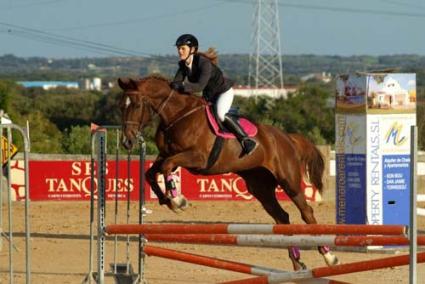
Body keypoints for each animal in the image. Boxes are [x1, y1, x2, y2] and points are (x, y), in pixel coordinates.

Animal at [117, 75, 338, 270]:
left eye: (136, 105)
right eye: (122, 105)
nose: (127, 141)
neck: (177, 116)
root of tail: (287, 137)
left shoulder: (197, 158)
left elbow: (165, 167)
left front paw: (178, 201)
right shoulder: (166, 155)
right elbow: (151, 173)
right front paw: (168, 200)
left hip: (288, 181)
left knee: (306, 213)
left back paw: (329, 257)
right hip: (260, 187)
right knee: (282, 218)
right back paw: (297, 262)